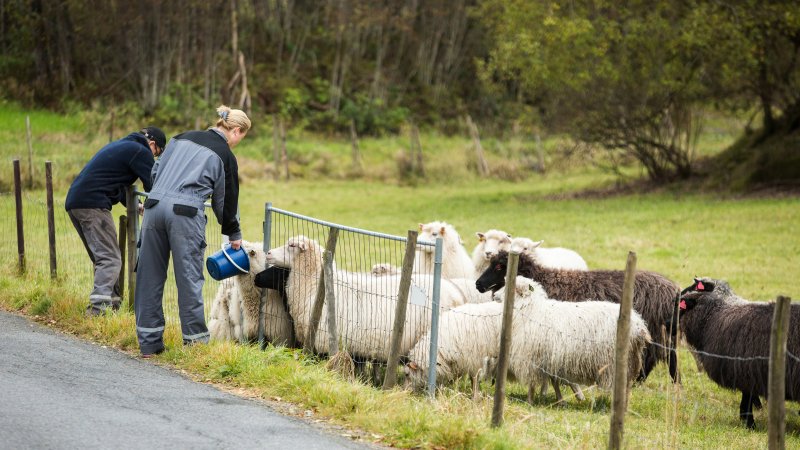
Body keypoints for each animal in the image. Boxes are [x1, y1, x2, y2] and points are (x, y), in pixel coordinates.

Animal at [478, 251, 680, 382]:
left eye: (499, 266)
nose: (477, 284)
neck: (544, 279)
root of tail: (672, 289)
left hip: (655, 334)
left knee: (657, 360)